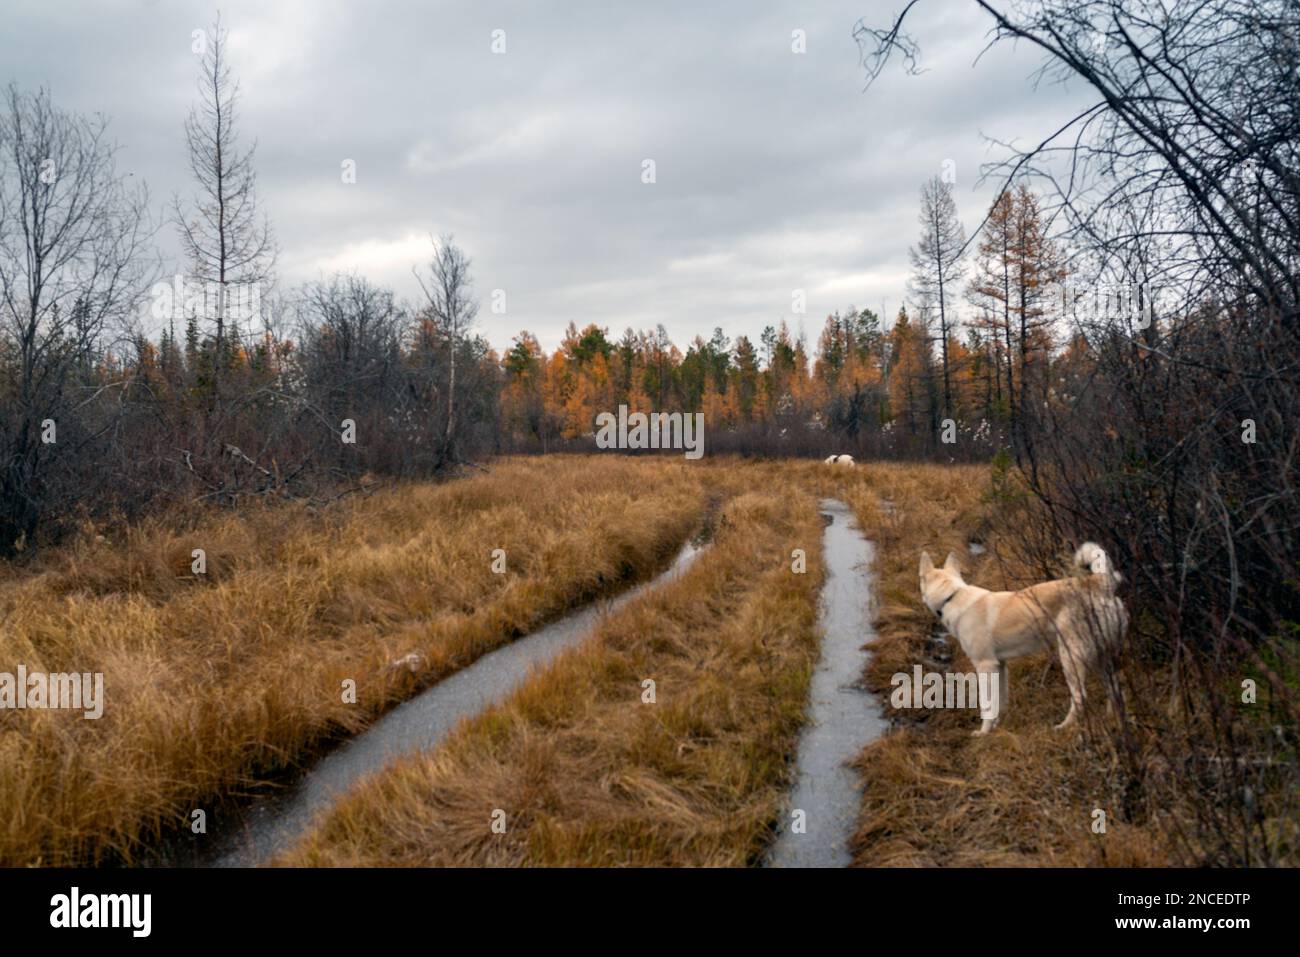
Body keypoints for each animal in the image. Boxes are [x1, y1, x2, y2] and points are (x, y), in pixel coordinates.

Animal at [920, 540, 1123, 738]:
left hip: (1071, 658)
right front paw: (996, 728)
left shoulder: (985, 666)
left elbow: (987, 705)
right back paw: (1112, 718)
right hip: (1100, 657)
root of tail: (1097, 582)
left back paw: (1064, 726)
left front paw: (983, 733)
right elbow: (1000, 702)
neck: (952, 597)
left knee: (1081, 696)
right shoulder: (1000, 666)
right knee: (1113, 687)